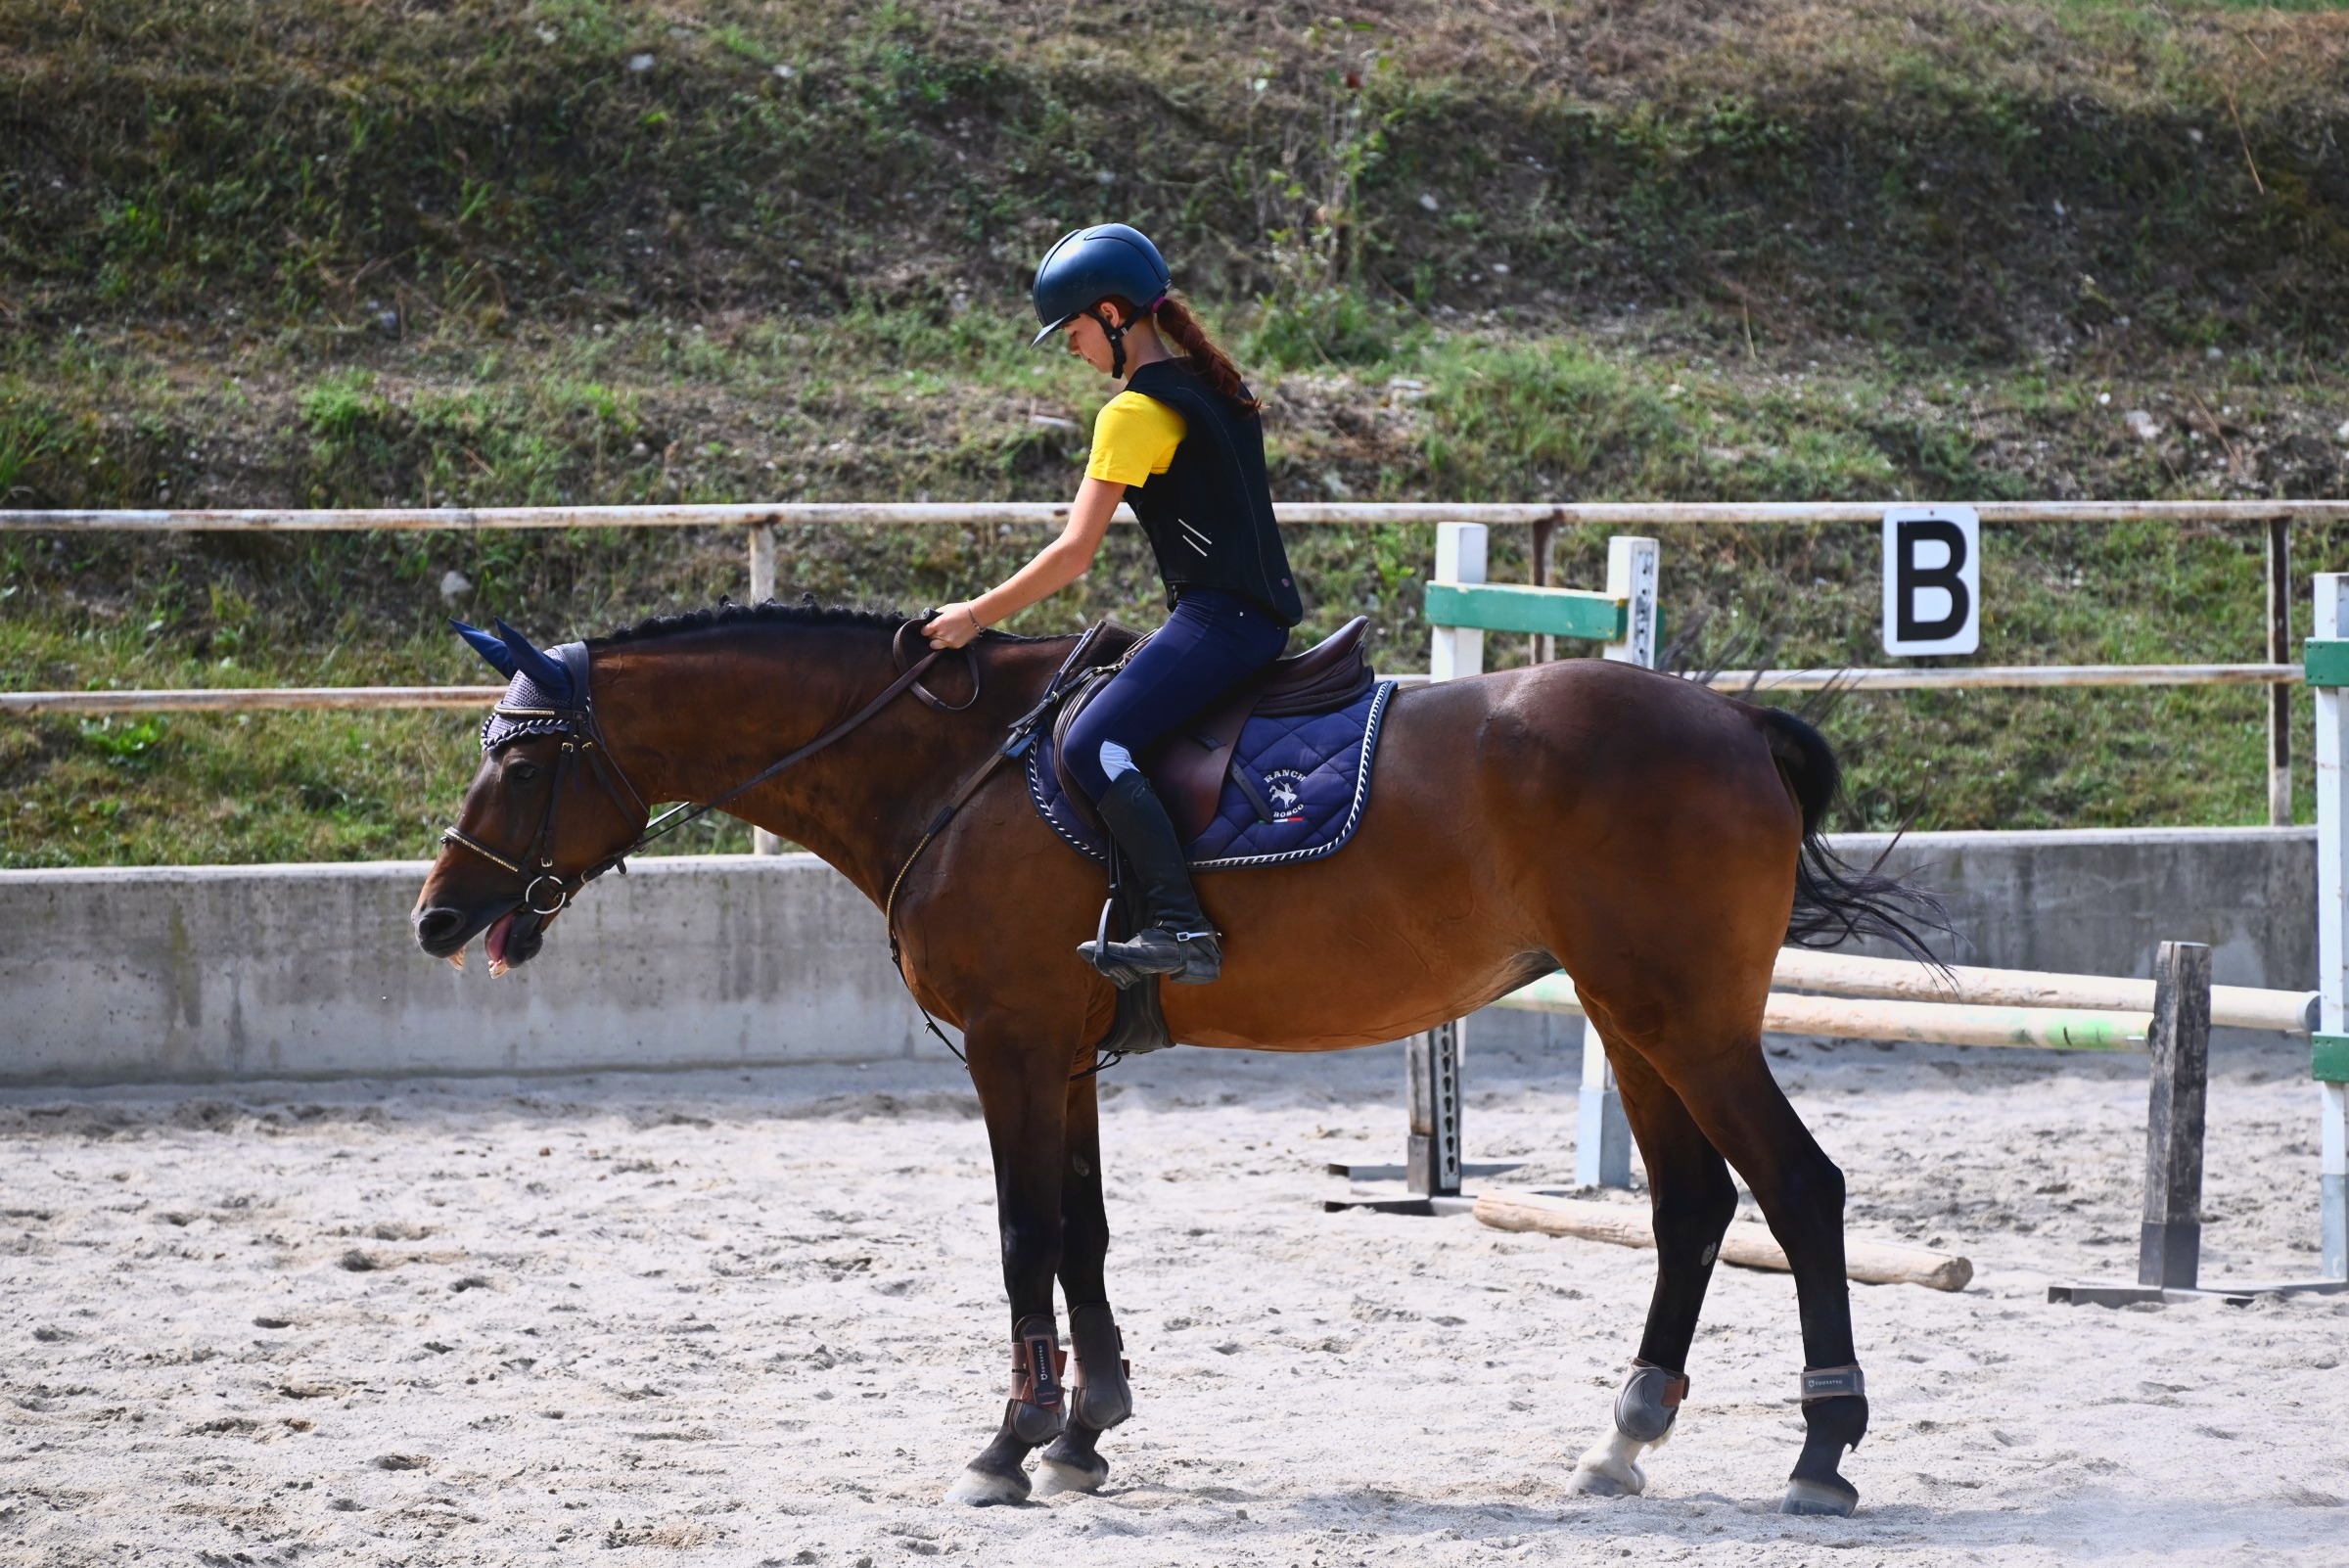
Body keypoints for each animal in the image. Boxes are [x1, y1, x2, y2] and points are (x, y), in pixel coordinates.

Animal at [410, 601, 1936, 1517]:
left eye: (519, 765)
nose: (437, 917)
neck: (951, 768)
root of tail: (1729, 717)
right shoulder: (1066, 1055)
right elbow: (1084, 1229)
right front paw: (1088, 1427)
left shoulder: (1012, 1047)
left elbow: (1025, 1233)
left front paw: (1010, 1442)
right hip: (1633, 1020)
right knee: (1691, 1208)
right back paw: (1624, 1435)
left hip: (1685, 1020)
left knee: (1801, 1193)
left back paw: (1821, 1451)